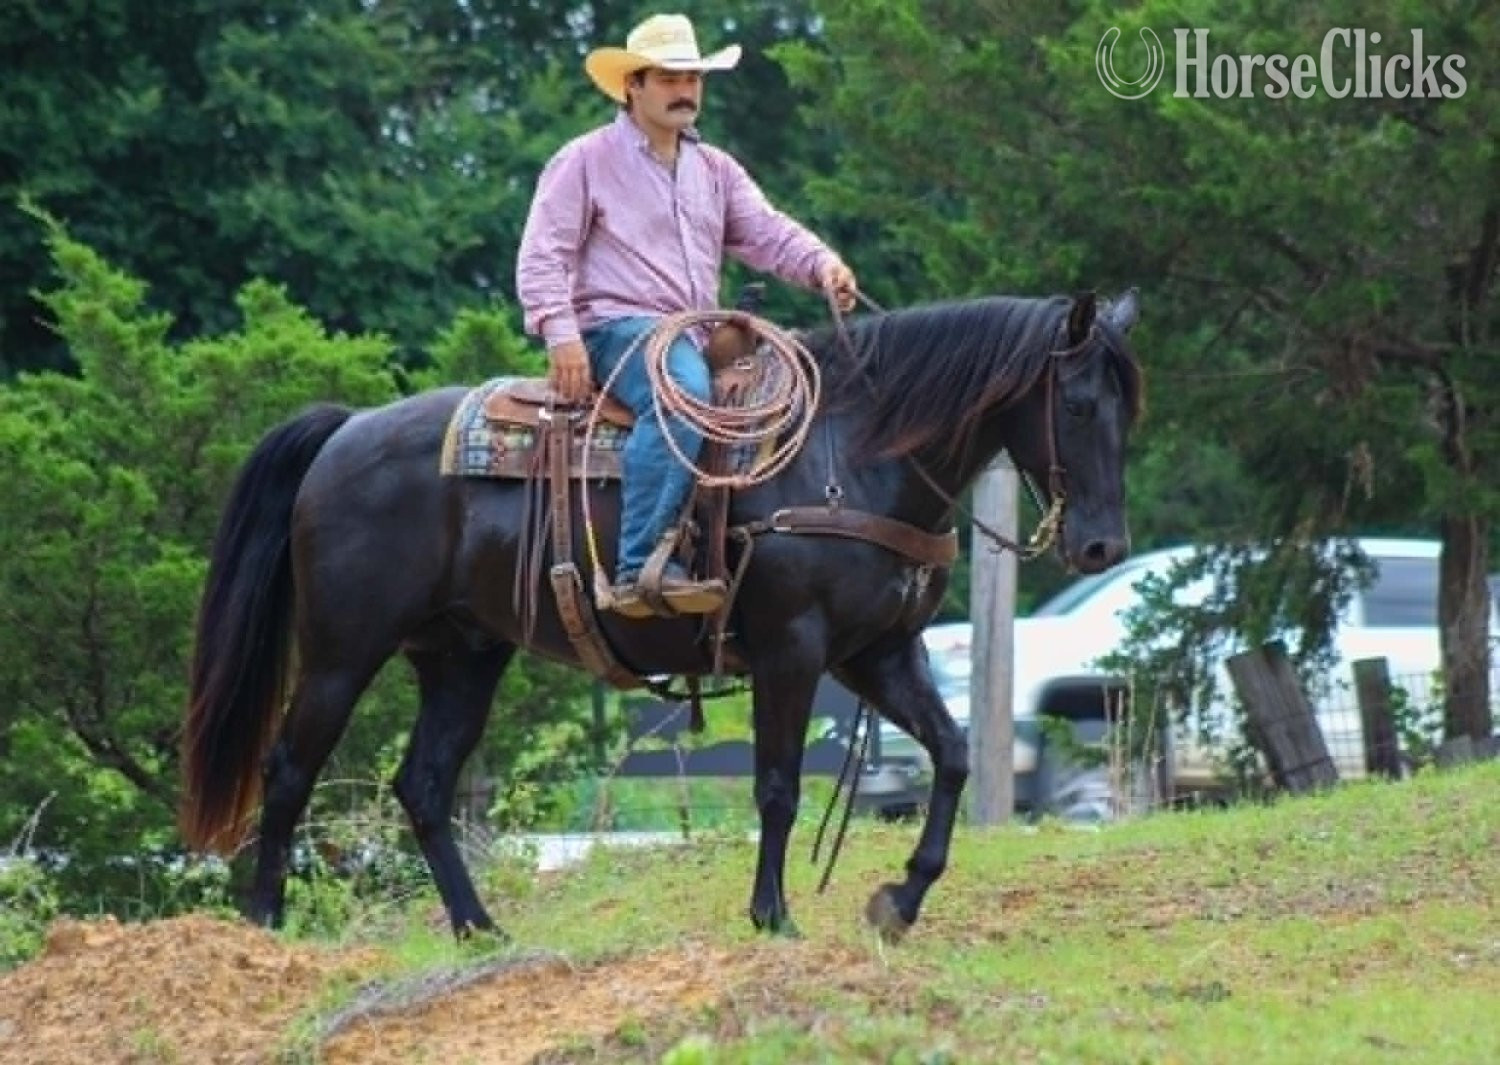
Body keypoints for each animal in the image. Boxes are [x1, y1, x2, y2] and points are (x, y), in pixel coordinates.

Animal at [179, 288, 1145, 941]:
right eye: (1076, 403)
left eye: (1127, 408)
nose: (1103, 545)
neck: (851, 457)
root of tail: (346, 429)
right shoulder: (794, 648)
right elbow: (778, 785)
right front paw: (772, 914)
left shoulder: (882, 653)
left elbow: (952, 754)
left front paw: (900, 898)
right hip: (342, 652)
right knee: (288, 768)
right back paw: (265, 925)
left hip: (463, 654)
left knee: (423, 783)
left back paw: (479, 928)